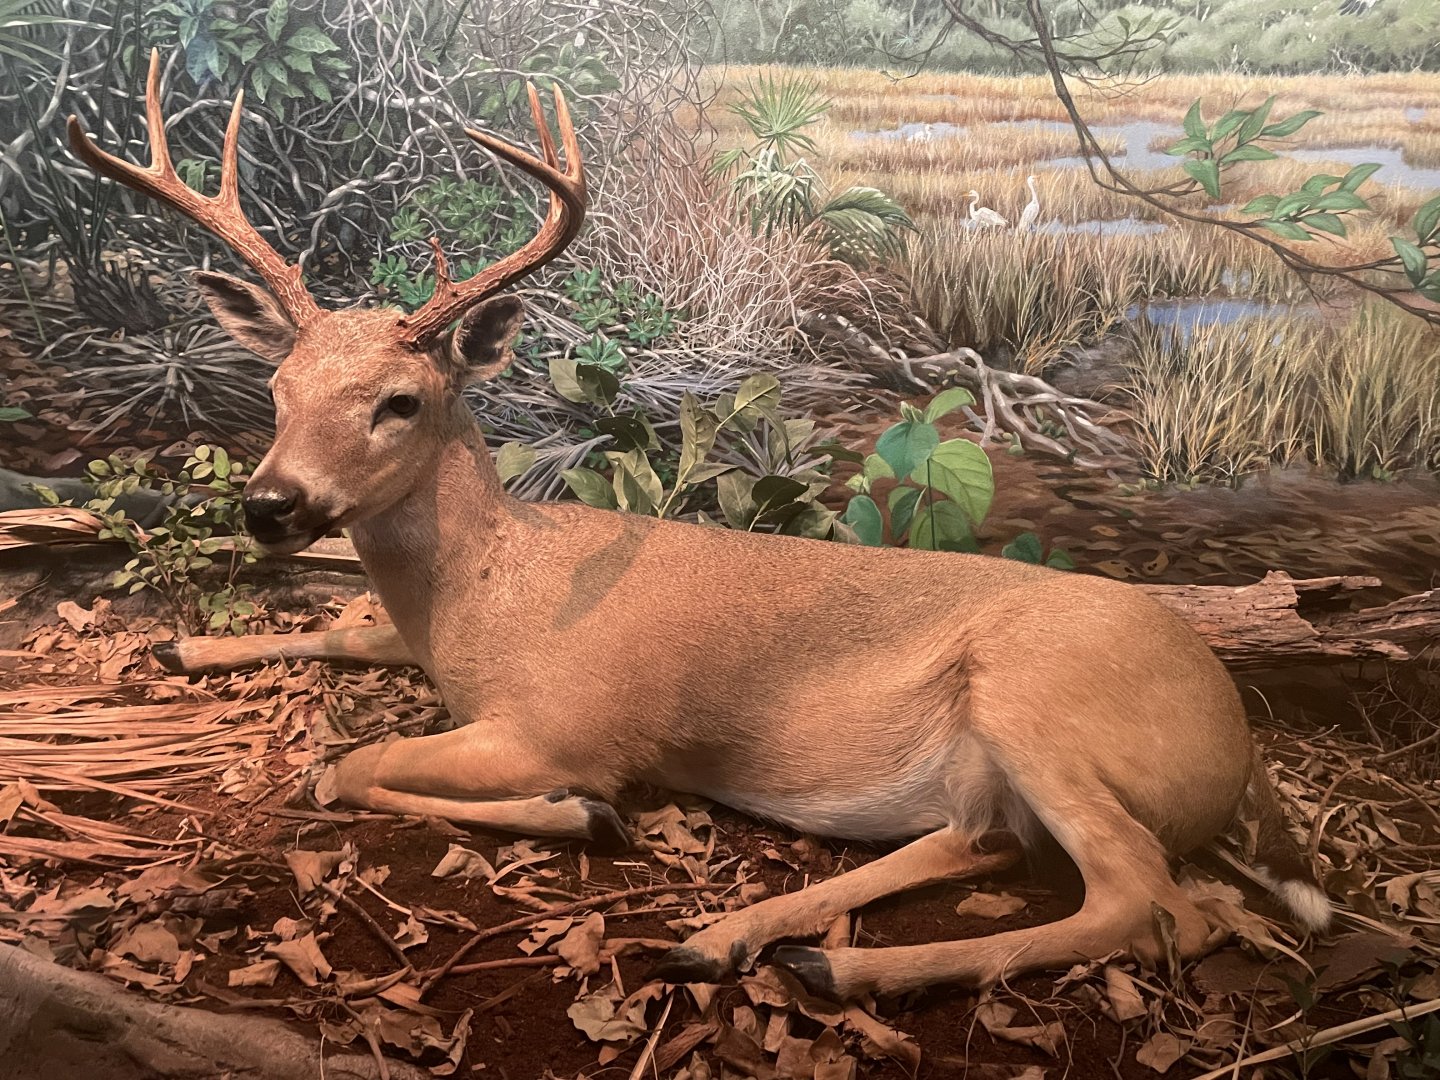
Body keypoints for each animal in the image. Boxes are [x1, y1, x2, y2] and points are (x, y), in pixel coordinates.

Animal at [69, 50, 1331, 1002]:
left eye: (401, 400)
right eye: (277, 388)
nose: (271, 503)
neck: (490, 592)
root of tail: (1238, 745)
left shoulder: (569, 724)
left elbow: (347, 768)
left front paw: (581, 817)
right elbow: (345, 635)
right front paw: (184, 644)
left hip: (1044, 702)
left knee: (1152, 906)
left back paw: (839, 969)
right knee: (984, 841)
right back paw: (741, 938)